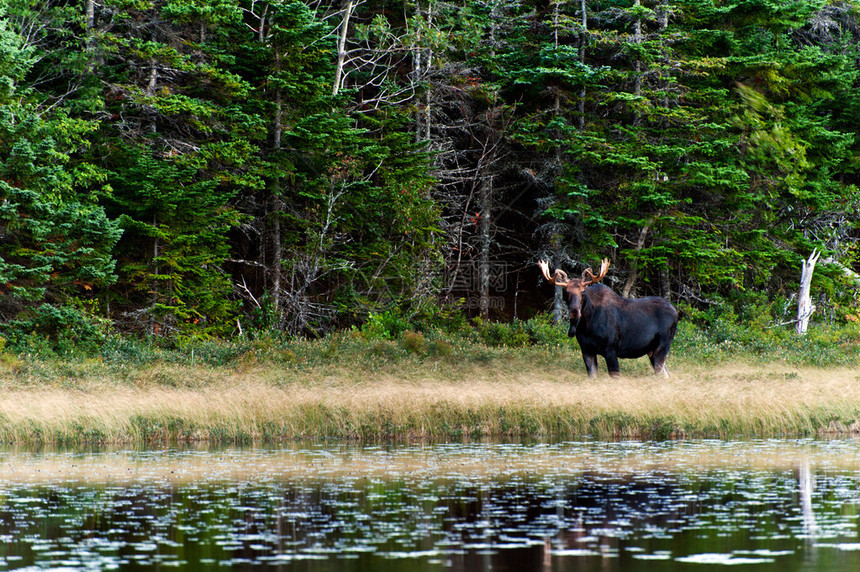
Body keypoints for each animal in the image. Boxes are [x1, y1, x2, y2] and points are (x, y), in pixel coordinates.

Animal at [536, 258, 680, 376]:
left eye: (583, 291)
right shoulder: (586, 350)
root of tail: (676, 312)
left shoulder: (610, 350)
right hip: (652, 351)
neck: (586, 325)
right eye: (566, 292)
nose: (574, 312)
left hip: (662, 346)